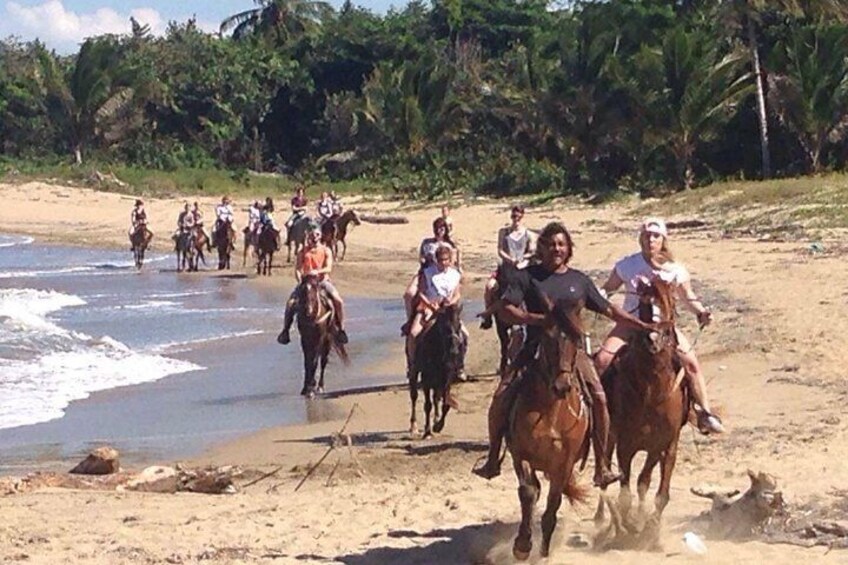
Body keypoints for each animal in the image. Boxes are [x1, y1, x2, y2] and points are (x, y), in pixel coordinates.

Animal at [406, 304, 464, 436]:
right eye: (444, 327)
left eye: (459, 325)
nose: (454, 351)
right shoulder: (426, 378)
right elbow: (428, 405)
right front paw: (428, 431)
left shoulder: (447, 378)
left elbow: (445, 404)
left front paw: (438, 426)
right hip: (413, 370)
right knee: (414, 396)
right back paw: (413, 426)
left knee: (436, 397)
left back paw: (436, 418)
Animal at [506, 300, 592, 560]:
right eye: (548, 339)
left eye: (576, 340)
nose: (562, 386)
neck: (550, 414)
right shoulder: (521, 454)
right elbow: (527, 492)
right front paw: (522, 545)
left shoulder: (563, 463)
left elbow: (553, 502)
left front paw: (544, 550)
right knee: (534, 489)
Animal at [600, 276, 684, 528]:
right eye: (644, 302)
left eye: (670, 299)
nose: (654, 340)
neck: (651, 394)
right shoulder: (625, 445)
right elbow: (626, 490)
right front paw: (628, 523)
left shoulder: (658, 444)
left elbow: (645, 484)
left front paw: (643, 524)